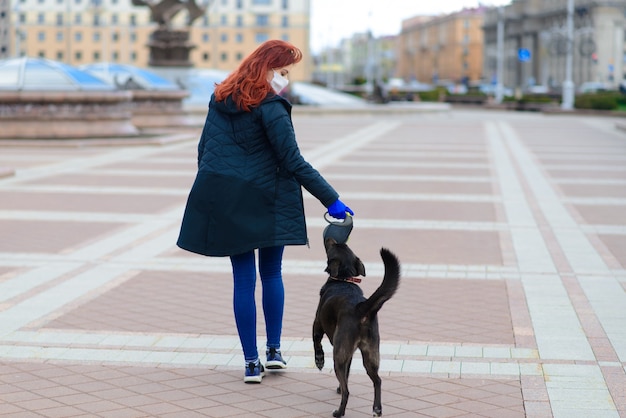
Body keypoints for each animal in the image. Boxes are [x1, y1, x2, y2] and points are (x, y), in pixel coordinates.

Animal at [312, 237, 400, 416]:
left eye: (333, 246)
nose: (329, 237)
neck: (344, 279)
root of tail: (361, 308)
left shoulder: (317, 325)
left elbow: (317, 345)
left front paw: (319, 361)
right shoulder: (350, 355)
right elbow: (347, 374)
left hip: (338, 356)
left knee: (348, 391)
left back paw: (339, 412)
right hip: (370, 355)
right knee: (378, 380)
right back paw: (377, 408)